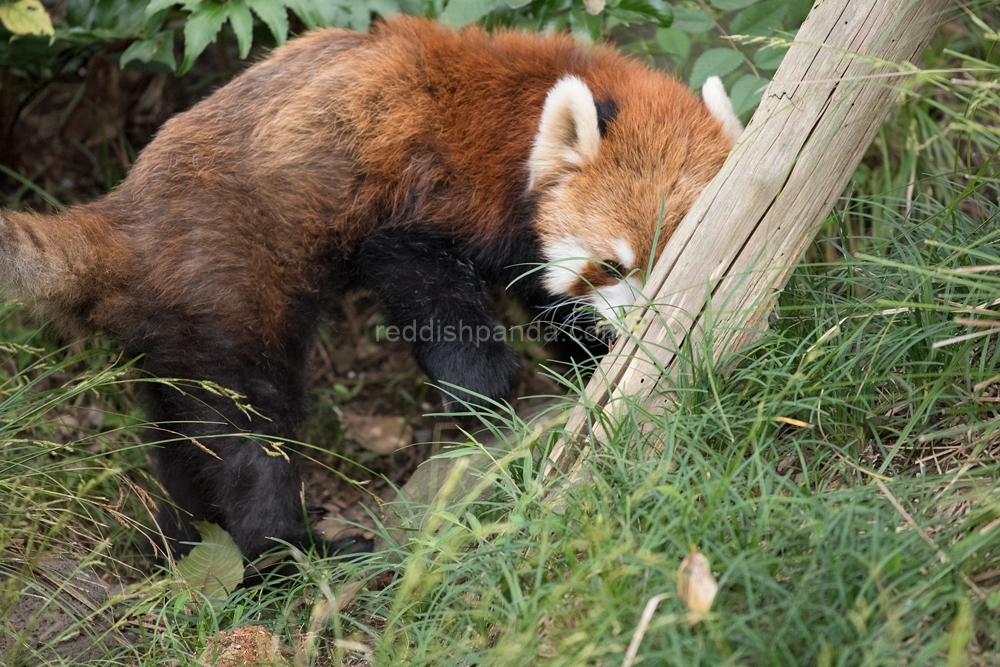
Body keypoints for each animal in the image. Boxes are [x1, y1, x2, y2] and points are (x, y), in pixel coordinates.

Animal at [0, 17, 744, 564]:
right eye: (615, 264)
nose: (646, 325)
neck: (521, 116)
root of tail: (123, 216)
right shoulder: (429, 201)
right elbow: (425, 286)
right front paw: (489, 395)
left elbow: (549, 300)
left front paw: (592, 365)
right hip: (226, 292)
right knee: (249, 436)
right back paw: (289, 554)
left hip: (167, 334)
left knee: (184, 440)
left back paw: (185, 543)